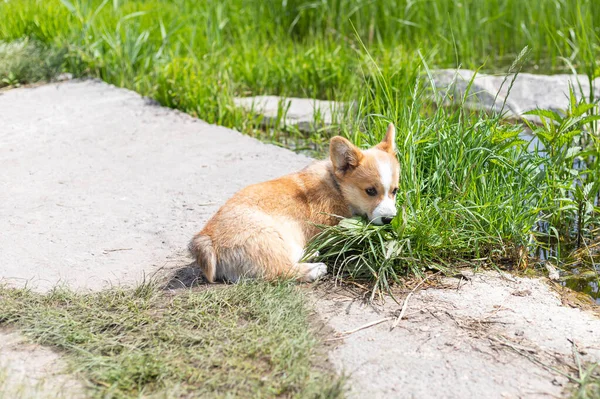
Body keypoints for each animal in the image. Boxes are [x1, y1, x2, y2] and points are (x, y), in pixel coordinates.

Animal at [190, 123, 400, 282]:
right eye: (370, 191)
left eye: (395, 191)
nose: (389, 220)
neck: (338, 186)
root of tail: (207, 239)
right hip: (270, 237)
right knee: (281, 270)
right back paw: (314, 269)